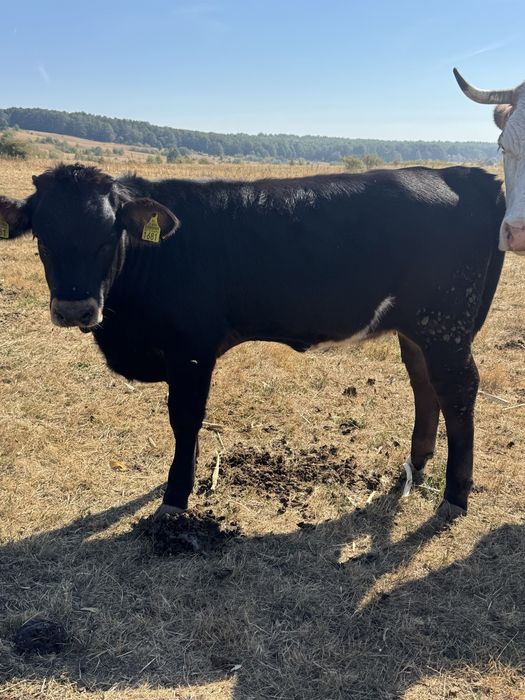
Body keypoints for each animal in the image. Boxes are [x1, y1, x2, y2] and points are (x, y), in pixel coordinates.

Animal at [0, 163, 505, 520]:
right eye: (42, 237)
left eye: (109, 236)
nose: (74, 309)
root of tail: (458, 174)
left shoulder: (191, 350)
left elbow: (185, 418)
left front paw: (175, 496)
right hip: (420, 330)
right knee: (425, 384)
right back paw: (417, 465)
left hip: (445, 325)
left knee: (458, 391)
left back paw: (454, 497)